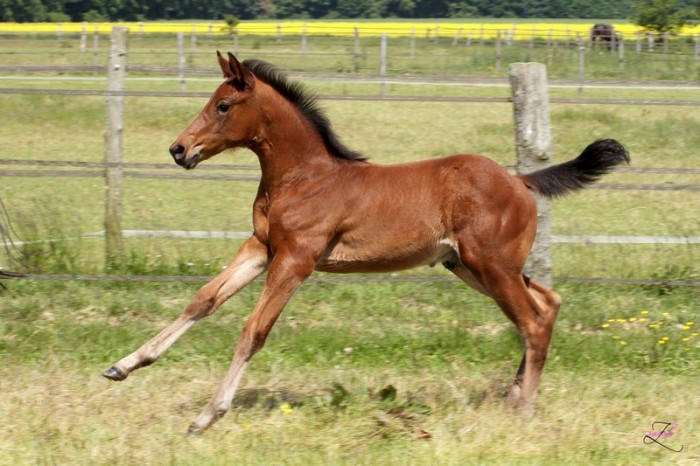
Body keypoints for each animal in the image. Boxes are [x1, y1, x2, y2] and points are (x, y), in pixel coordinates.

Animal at [102, 52, 628, 436]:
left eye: (223, 106)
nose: (179, 149)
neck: (304, 177)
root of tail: (520, 180)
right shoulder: (261, 249)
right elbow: (202, 300)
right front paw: (124, 365)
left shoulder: (296, 260)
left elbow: (254, 330)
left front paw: (206, 416)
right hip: (470, 266)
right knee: (547, 304)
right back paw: (515, 394)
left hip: (491, 266)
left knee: (533, 321)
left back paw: (523, 410)